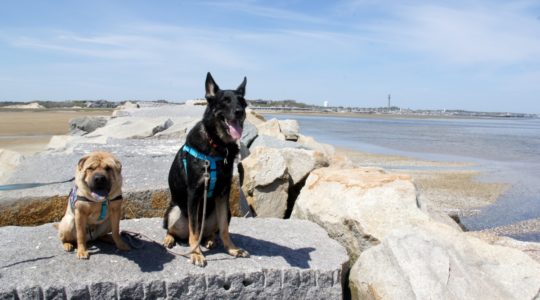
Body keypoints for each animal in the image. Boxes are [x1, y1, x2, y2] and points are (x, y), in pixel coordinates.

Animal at [163, 73, 250, 268]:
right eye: (225, 101)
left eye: (242, 101)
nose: (240, 111)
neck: (217, 145)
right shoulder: (195, 194)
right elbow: (194, 230)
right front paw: (196, 254)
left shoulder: (223, 193)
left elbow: (224, 228)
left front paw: (231, 248)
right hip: (174, 210)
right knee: (178, 231)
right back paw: (170, 239)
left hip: (226, 210)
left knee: (209, 232)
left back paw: (209, 239)